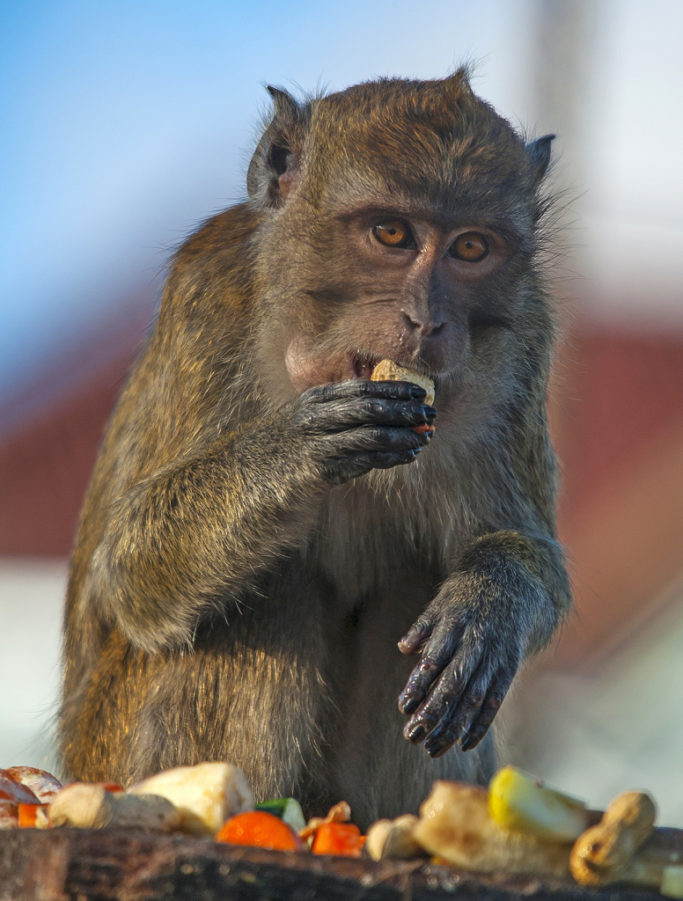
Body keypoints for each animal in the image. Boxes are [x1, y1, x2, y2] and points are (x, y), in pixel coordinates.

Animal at [60, 70, 572, 828]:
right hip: (113, 757)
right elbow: (128, 570)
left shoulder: (526, 343)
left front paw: (493, 602)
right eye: (391, 233)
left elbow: (530, 557)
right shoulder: (207, 299)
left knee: (413, 585)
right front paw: (295, 452)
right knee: (268, 594)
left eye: (471, 249)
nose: (427, 321)